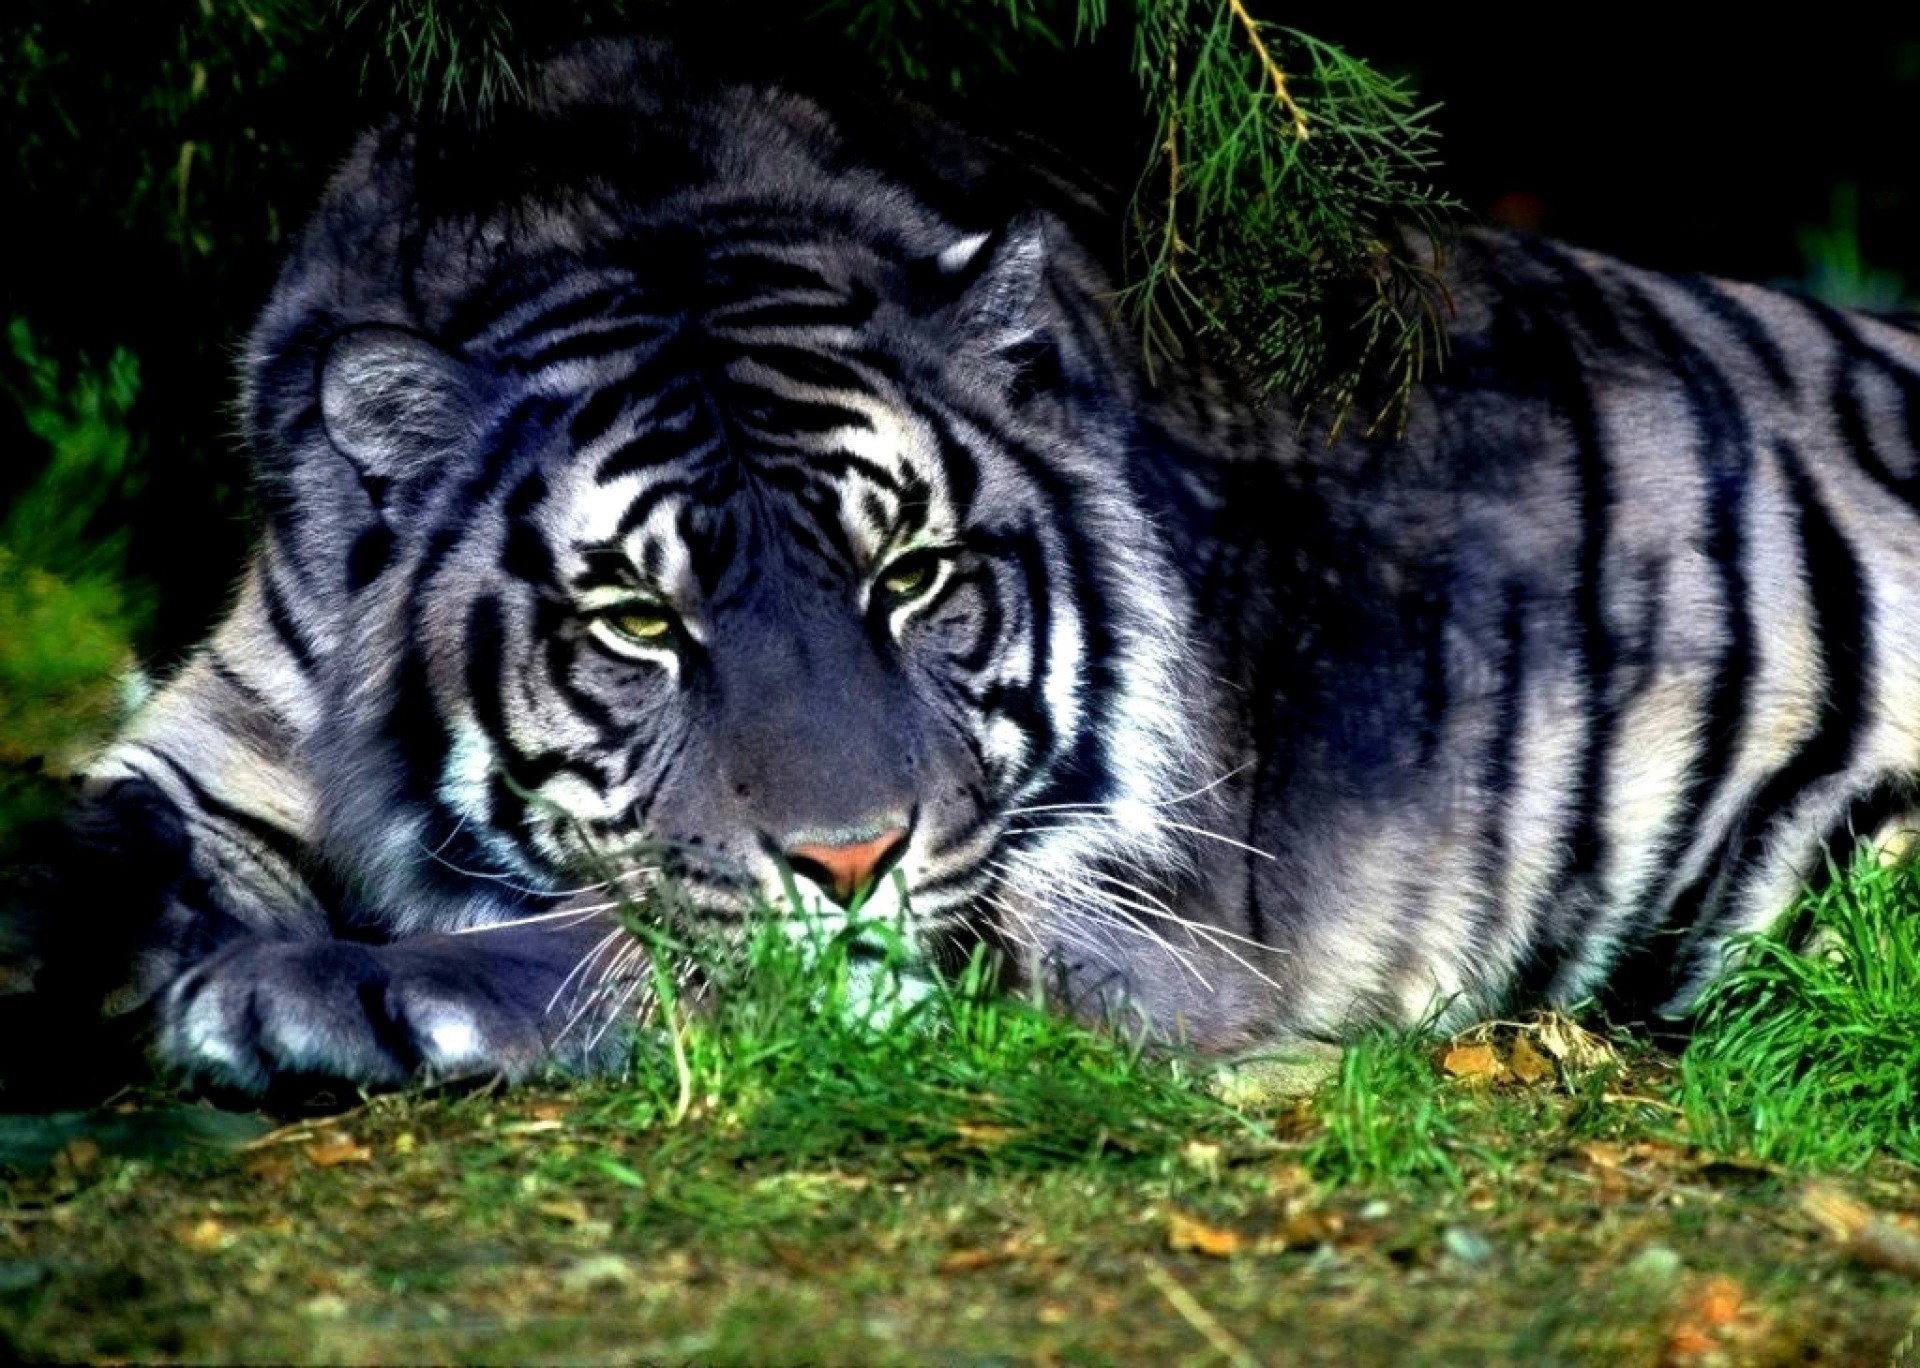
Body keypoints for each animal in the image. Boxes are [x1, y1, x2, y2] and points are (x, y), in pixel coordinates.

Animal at [14, 38, 1920, 1097]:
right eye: (637, 618)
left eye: (914, 575)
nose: (852, 856)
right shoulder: (212, 743)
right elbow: (94, 840)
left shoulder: (1096, 910)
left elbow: (649, 945)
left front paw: (304, 996)